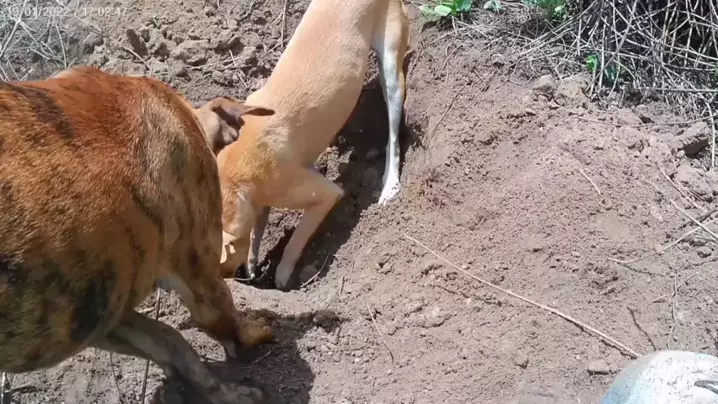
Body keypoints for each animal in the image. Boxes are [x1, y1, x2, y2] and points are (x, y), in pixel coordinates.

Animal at [0, 66, 274, 404]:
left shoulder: (99, 313)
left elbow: (171, 340)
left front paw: (218, 390)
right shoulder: (202, 277)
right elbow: (224, 320)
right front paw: (253, 338)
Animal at [217, 0, 410, 290]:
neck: (235, 175)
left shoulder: (321, 193)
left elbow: (295, 241)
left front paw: (281, 277)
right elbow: (257, 228)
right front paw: (252, 263)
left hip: (391, 67)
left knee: (394, 135)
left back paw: (389, 187)